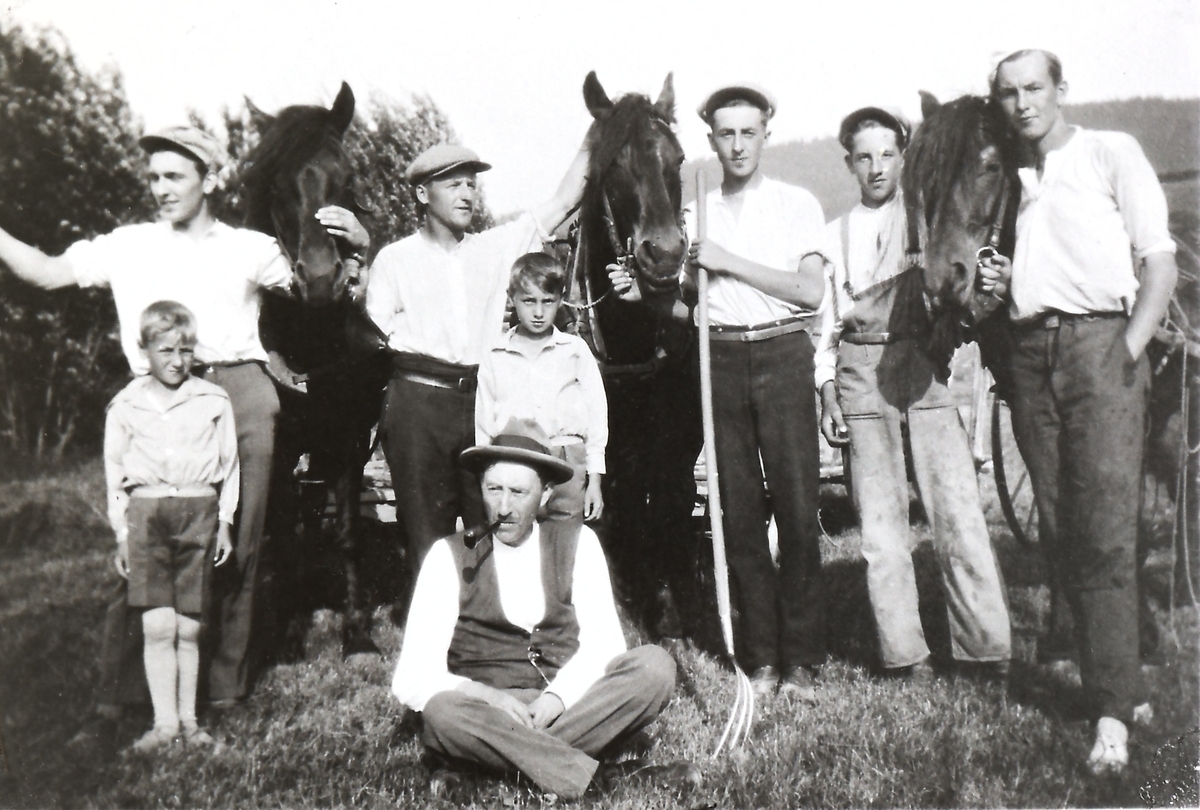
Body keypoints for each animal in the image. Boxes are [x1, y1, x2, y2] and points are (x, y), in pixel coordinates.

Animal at [234, 82, 384, 657]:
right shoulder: (276, 451)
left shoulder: (346, 440)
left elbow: (347, 532)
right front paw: (292, 632)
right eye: (273, 182)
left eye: (347, 176)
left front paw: (357, 630)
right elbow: (284, 534)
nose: (320, 282)